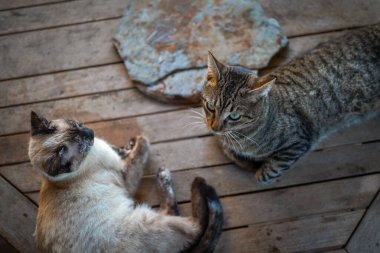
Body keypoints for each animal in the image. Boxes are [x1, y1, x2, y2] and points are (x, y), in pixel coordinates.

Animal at [30, 112, 226, 253]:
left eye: (76, 125)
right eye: (82, 144)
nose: (90, 132)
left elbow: (125, 150)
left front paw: (127, 146)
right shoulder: (126, 175)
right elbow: (142, 146)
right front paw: (136, 141)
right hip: (148, 221)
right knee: (193, 226)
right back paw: (190, 181)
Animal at [200, 24, 378, 184]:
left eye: (235, 116)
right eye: (210, 107)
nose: (214, 128)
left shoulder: (299, 143)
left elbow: (269, 172)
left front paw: (260, 172)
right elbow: (229, 150)